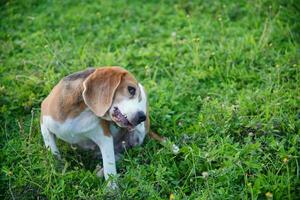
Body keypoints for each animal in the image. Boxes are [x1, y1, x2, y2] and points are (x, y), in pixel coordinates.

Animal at [39, 67, 176, 188]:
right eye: (131, 89)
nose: (143, 117)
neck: (78, 111)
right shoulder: (44, 124)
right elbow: (53, 152)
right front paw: (58, 170)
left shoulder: (105, 138)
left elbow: (110, 168)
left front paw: (112, 191)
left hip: (138, 134)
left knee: (124, 154)